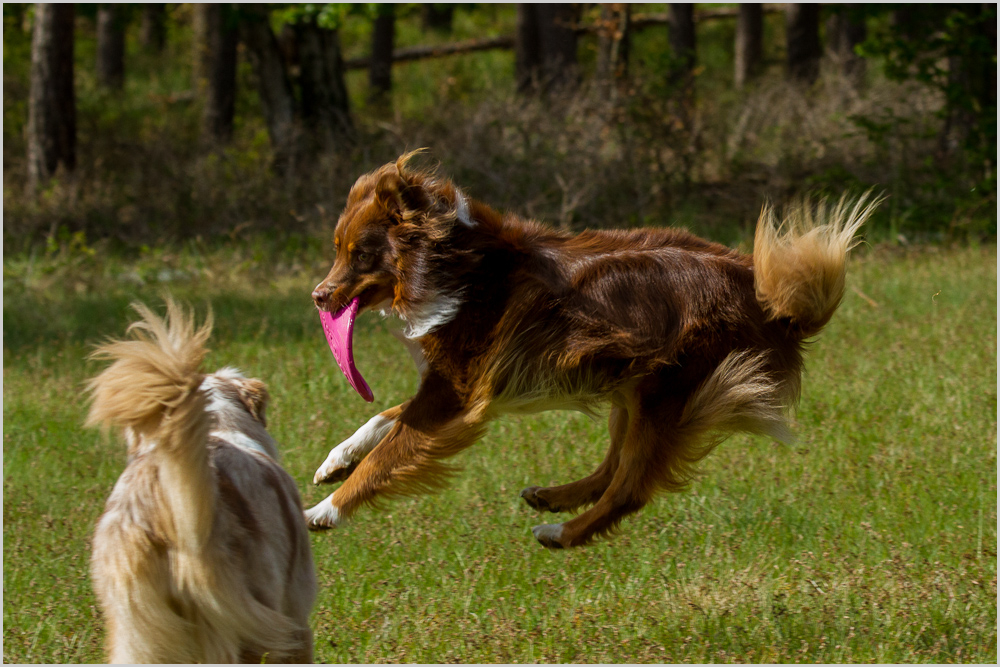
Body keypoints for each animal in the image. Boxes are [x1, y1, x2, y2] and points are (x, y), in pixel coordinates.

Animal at [306, 154, 876, 552]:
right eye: (336, 249)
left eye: (360, 253)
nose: (317, 296)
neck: (449, 262)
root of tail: (772, 305)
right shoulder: (445, 386)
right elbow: (382, 419)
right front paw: (334, 461)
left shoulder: (456, 393)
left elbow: (389, 451)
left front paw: (324, 510)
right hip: (634, 388)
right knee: (613, 468)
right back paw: (555, 496)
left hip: (670, 392)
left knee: (629, 488)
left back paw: (560, 532)